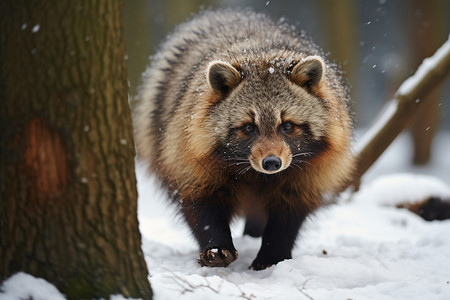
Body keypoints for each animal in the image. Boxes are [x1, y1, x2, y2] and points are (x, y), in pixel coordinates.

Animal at [135, 10, 354, 270]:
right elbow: (200, 202)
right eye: (249, 127)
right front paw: (216, 245)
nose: (272, 162)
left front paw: (273, 253)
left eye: (287, 125)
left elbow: (289, 213)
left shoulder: (308, 175)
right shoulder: (189, 154)